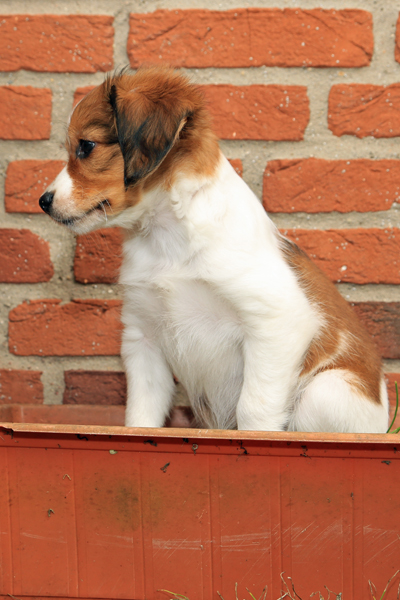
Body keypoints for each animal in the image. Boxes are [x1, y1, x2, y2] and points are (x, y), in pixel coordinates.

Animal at [39, 64, 388, 432]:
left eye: (86, 146)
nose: (43, 202)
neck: (168, 239)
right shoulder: (144, 337)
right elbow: (141, 415)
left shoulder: (276, 320)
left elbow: (254, 409)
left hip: (323, 391)